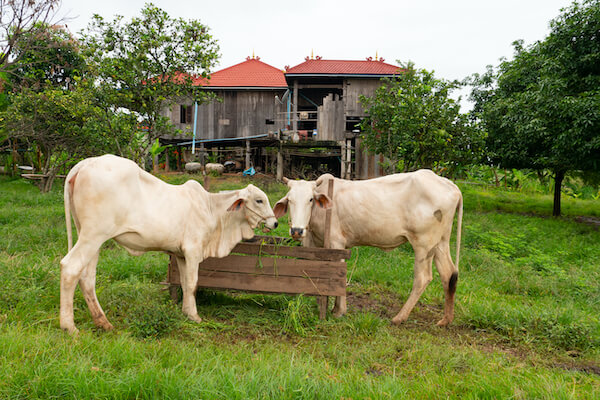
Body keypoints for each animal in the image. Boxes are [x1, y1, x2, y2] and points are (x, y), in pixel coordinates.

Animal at [60, 155, 276, 332]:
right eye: (259, 200)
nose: (275, 223)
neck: (212, 210)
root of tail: (86, 163)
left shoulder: (181, 254)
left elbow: (185, 283)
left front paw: (187, 312)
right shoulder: (193, 251)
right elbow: (193, 283)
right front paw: (195, 316)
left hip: (90, 237)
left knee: (87, 276)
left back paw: (102, 322)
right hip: (93, 235)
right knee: (70, 267)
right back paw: (69, 327)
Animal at [274, 171, 462, 324]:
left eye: (310, 199)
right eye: (289, 200)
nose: (296, 230)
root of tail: (450, 185)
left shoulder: (337, 242)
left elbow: (339, 275)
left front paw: (339, 311)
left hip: (423, 244)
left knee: (423, 278)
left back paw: (399, 317)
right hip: (440, 243)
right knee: (448, 274)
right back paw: (445, 320)